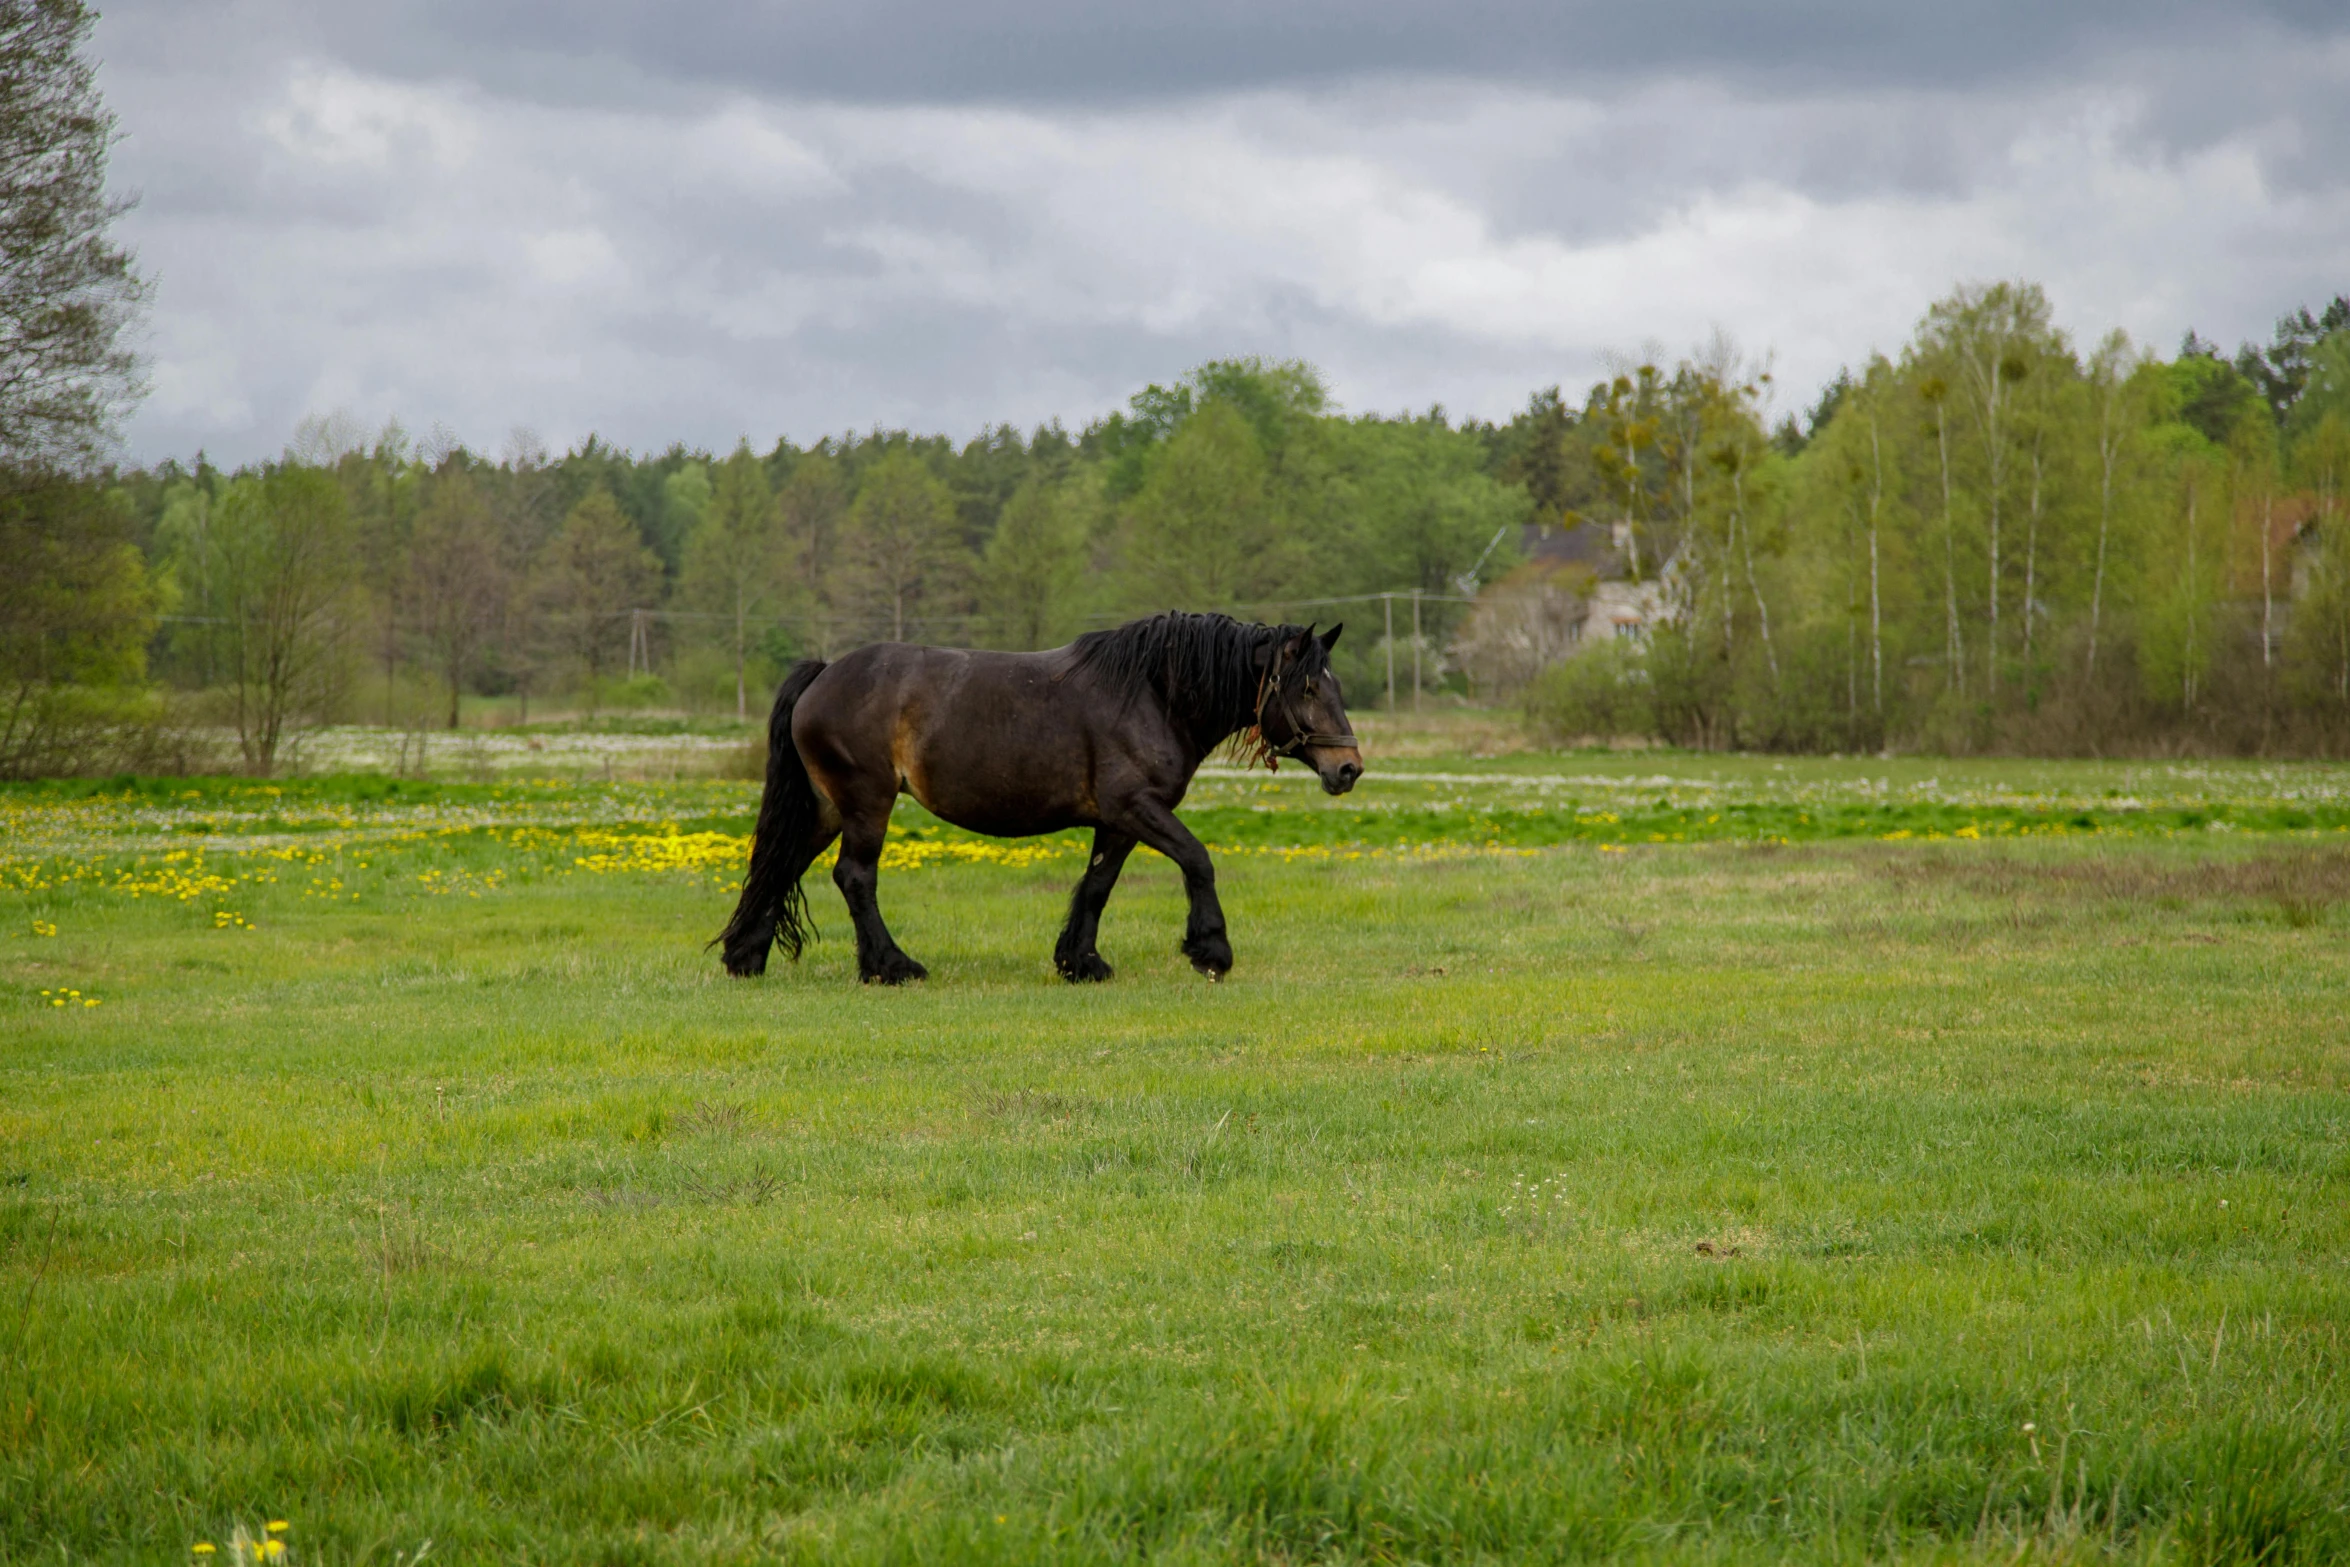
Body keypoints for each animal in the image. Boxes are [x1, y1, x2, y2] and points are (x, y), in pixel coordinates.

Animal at [723, 610, 1372, 982]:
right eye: (1308, 687)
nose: (1348, 769)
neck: (1152, 693)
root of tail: (826, 671)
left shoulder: (1117, 821)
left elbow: (1098, 886)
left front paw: (1079, 961)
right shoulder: (1137, 808)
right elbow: (1198, 860)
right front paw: (1210, 948)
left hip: (830, 805)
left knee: (783, 862)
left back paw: (745, 955)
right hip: (866, 802)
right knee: (854, 877)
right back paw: (891, 966)